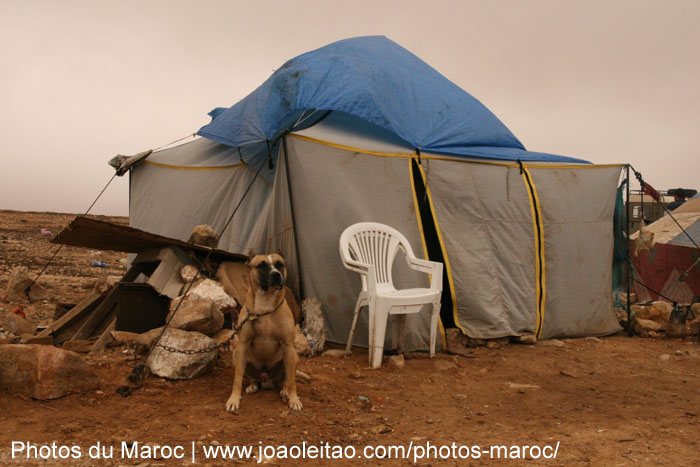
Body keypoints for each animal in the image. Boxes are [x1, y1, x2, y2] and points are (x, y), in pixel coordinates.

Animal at [224, 254, 300, 412]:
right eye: (261, 265)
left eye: (279, 264)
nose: (276, 275)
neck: (266, 303)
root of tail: (266, 378)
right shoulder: (243, 345)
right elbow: (237, 378)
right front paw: (234, 399)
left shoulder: (288, 345)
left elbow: (292, 379)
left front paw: (294, 399)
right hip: (237, 355)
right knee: (252, 377)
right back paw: (253, 385)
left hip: (293, 356)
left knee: (288, 377)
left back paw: (285, 390)